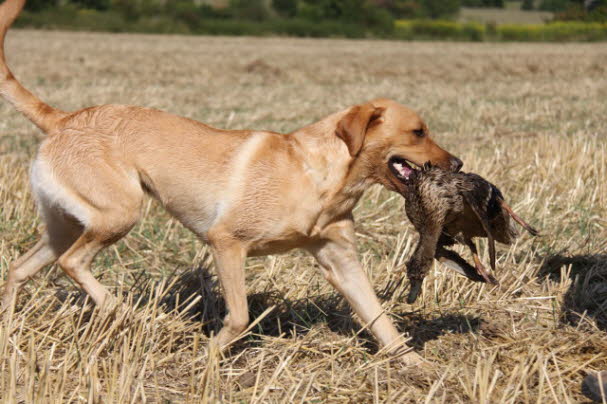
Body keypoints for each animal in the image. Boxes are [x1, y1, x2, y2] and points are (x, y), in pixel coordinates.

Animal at [0, 0, 458, 364]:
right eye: (418, 132)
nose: (457, 163)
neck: (322, 176)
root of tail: (63, 118)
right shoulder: (226, 243)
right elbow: (238, 316)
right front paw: (208, 358)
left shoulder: (341, 261)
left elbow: (381, 320)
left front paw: (419, 368)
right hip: (119, 213)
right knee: (72, 263)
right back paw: (128, 313)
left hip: (68, 224)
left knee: (21, 268)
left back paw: (8, 326)